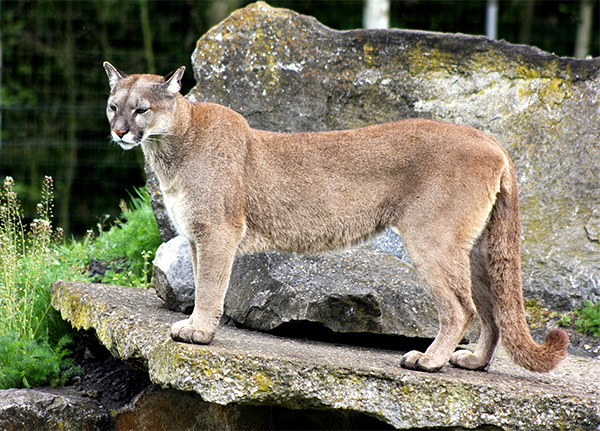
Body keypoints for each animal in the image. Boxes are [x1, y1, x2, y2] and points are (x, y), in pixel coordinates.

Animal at [102, 62, 568, 372]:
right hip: (474, 249)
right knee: (493, 310)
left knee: (461, 307)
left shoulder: (218, 232)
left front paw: (199, 332)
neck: (171, 146)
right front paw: (194, 326)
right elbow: (202, 283)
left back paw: (429, 360)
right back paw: (473, 361)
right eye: (112, 106)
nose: (119, 131)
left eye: (140, 110)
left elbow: (211, 287)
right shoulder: (198, 236)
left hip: (430, 239)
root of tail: (491, 140)